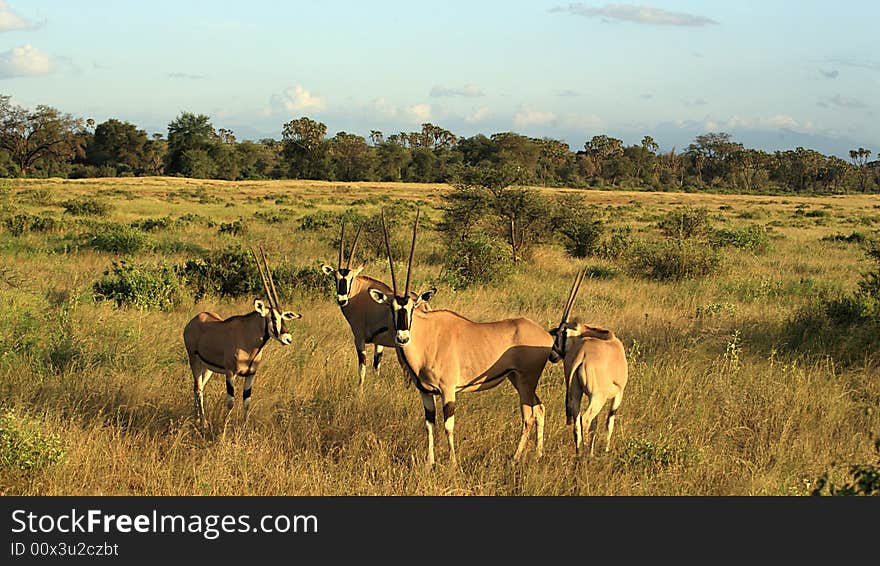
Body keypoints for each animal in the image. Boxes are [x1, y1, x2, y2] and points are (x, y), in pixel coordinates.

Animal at [182, 246, 302, 428]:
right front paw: (225, 428)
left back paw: (198, 419)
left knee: (199, 387)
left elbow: (247, 401)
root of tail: (194, 321)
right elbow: (230, 401)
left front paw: (244, 428)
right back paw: (202, 422)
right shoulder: (230, 373)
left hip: (207, 367)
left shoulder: (251, 374)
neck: (249, 339)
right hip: (194, 360)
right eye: (273, 318)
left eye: (284, 317)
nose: (288, 338)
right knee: (198, 388)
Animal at [322, 220, 428, 388]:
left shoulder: (359, 338)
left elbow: (362, 369)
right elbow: (376, 367)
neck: (360, 295)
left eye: (351, 278)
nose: (342, 300)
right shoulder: (379, 344)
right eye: (335, 277)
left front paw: (360, 390)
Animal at [366, 211, 552, 468]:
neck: (427, 338)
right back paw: (538, 454)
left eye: (413, 307)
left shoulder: (448, 390)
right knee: (540, 409)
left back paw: (515, 457)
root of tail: (545, 335)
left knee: (529, 415)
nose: (402, 338)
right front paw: (430, 463)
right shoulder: (425, 392)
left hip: (526, 380)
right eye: (390, 308)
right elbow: (429, 425)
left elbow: (448, 426)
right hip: (517, 379)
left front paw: (453, 463)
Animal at [548, 270, 628, 458]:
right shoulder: (618, 394)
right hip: (598, 397)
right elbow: (608, 423)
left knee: (578, 422)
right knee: (585, 420)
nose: (552, 355)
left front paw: (592, 450)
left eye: (563, 333)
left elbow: (595, 425)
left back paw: (580, 454)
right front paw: (605, 450)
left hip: (576, 394)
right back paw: (584, 454)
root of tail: (582, 354)